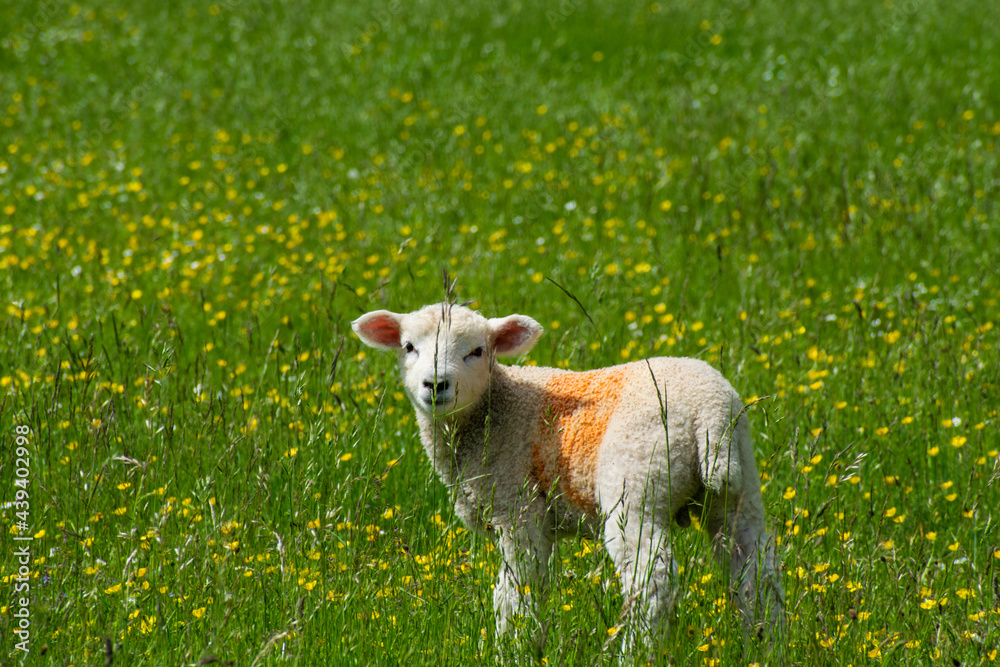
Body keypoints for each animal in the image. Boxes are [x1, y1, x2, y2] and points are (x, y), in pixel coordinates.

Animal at [352, 302, 784, 651]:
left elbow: (516, 590)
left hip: (636, 485)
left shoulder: (518, 508)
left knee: (652, 582)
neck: (492, 410)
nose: (436, 384)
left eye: (477, 351)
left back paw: (635, 652)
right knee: (756, 573)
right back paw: (766, 645)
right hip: (740, 489)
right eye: (409, 347)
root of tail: (708, 410)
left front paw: (514, 646)